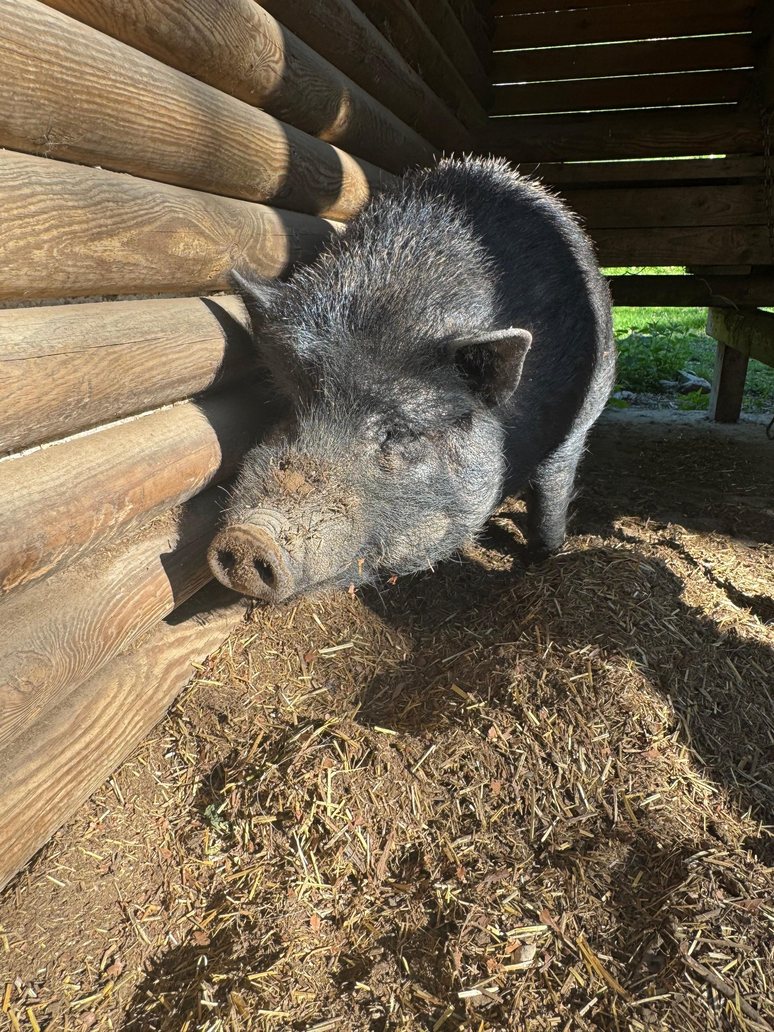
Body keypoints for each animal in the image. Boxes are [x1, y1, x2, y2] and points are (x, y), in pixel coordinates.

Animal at [207, 156, 615, 602]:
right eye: (291, 405)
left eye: (398, 432)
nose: (248, 539)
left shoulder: (576, 422)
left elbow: (552, 491)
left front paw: (544, 557)